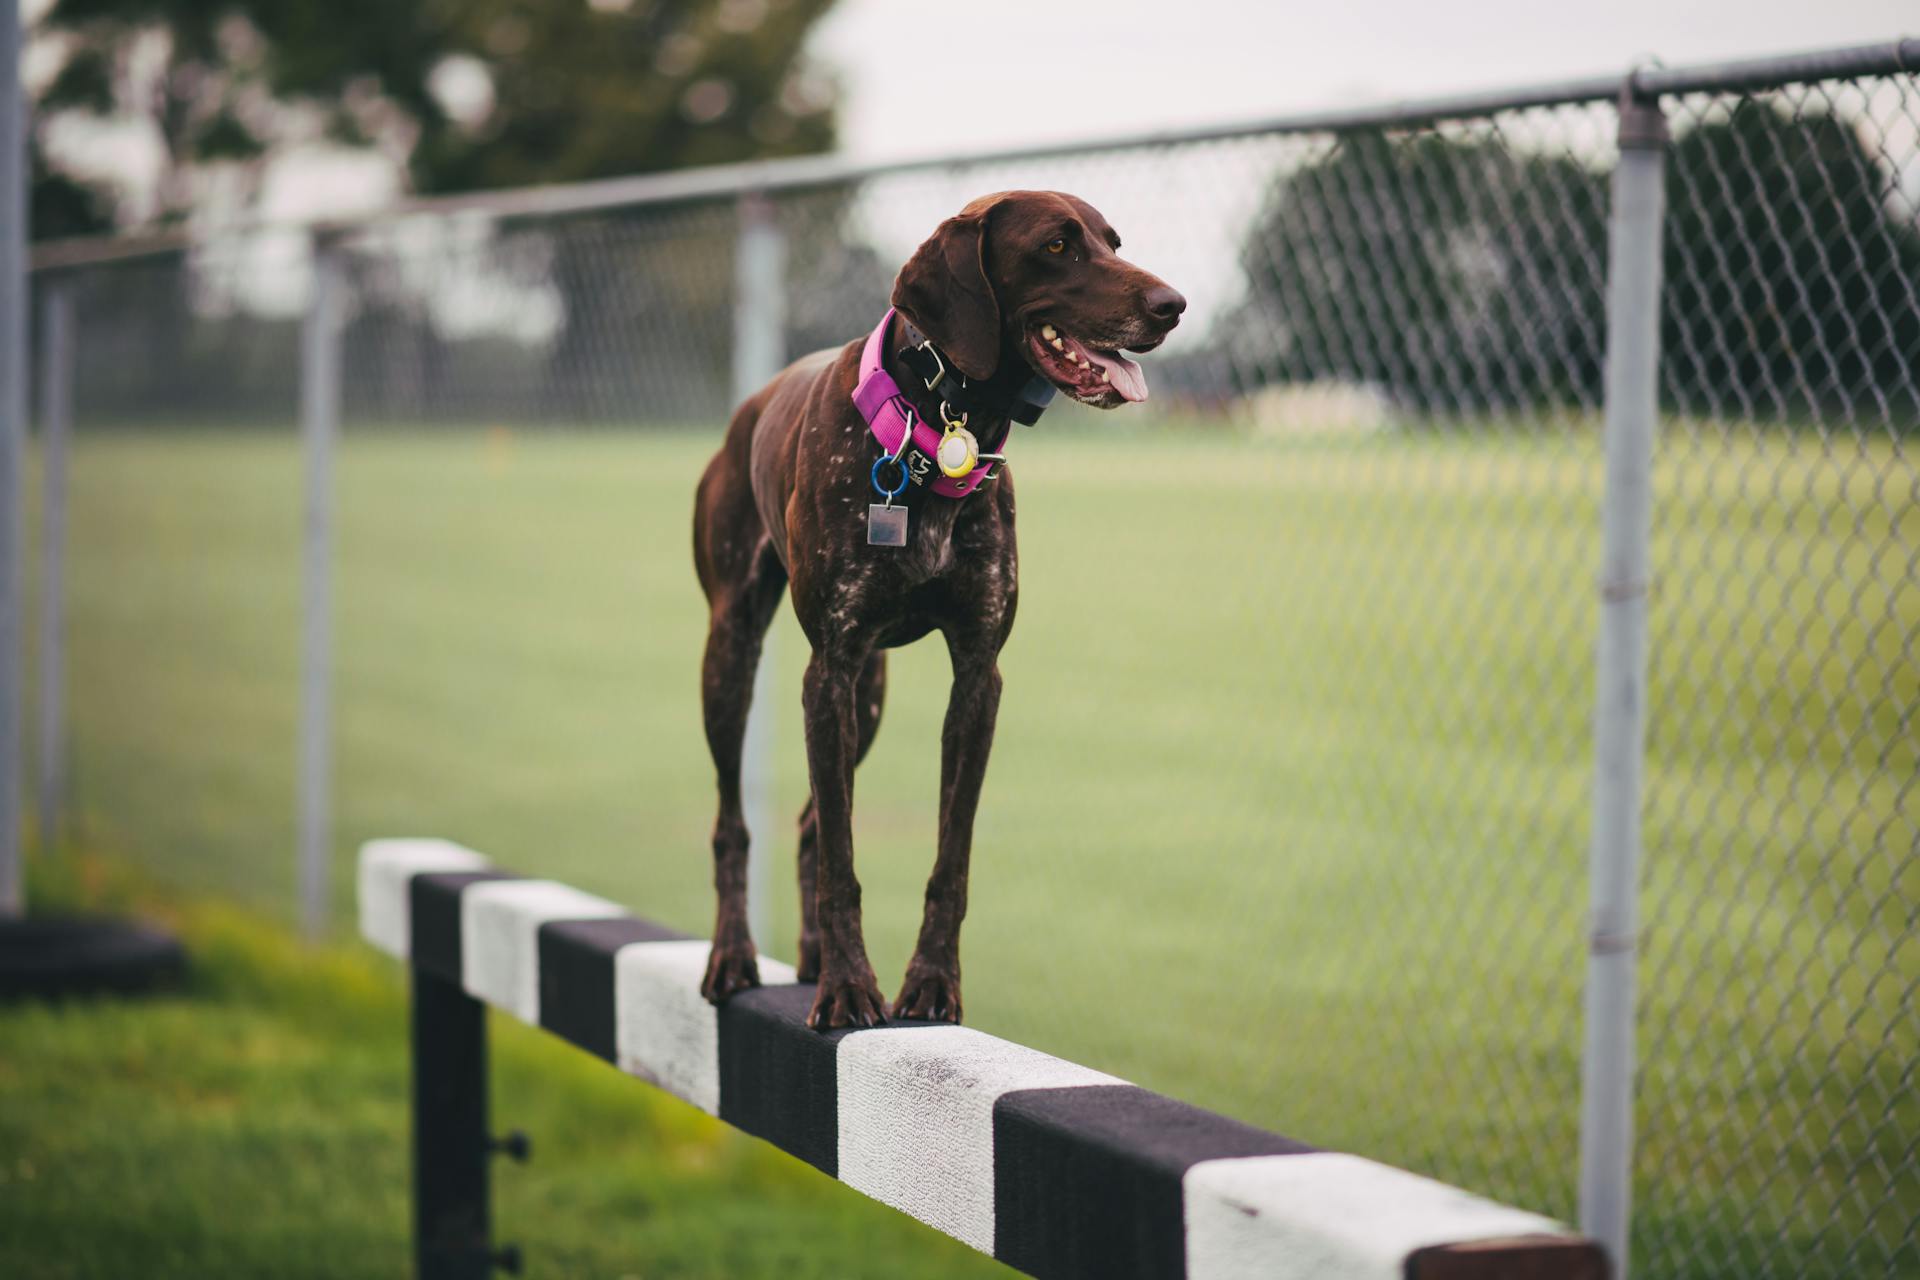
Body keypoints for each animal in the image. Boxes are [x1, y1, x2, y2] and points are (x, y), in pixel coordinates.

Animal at [691, 189, 1167, 1028]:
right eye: (1057, 246)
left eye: (1114, 242)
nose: (1173, 305)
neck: (939, 424)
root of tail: (745, 411)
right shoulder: (829, 669)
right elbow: (844, 859)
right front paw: (851, 987)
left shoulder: (976, 677)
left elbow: (949, 856)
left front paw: (930, 982)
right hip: (735, 657)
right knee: (734, 824)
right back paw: (735, 955)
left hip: (867, 696)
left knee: (811, 823)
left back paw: (809, 957)